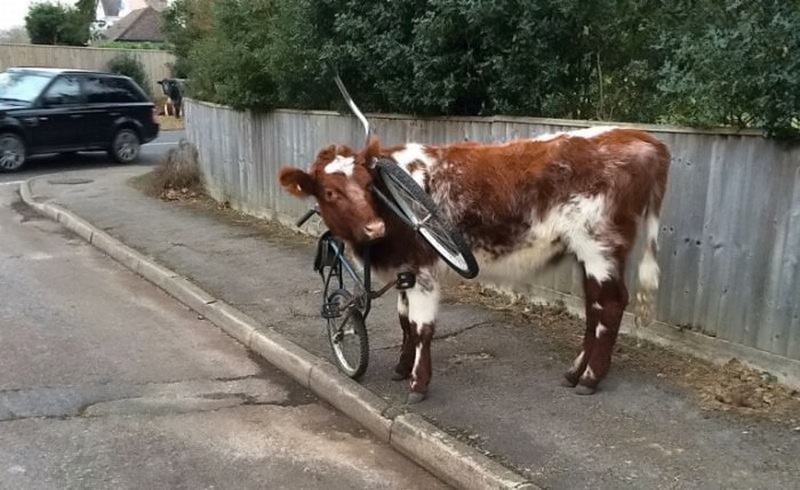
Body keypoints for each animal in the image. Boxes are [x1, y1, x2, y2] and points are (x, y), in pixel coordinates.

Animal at [282, 126, 668, 402]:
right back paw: (575, 373)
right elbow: (404, 322)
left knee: (611, 305)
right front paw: (401, 368)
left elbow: (422, 328)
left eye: (367, 184)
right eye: (330, 192)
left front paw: (418, 384)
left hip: (600, 245)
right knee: (594, 307)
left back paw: (589, 378)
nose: (373, 227)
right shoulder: (405, 268)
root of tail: (640, 137)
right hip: (587, 253)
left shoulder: (422, 267)